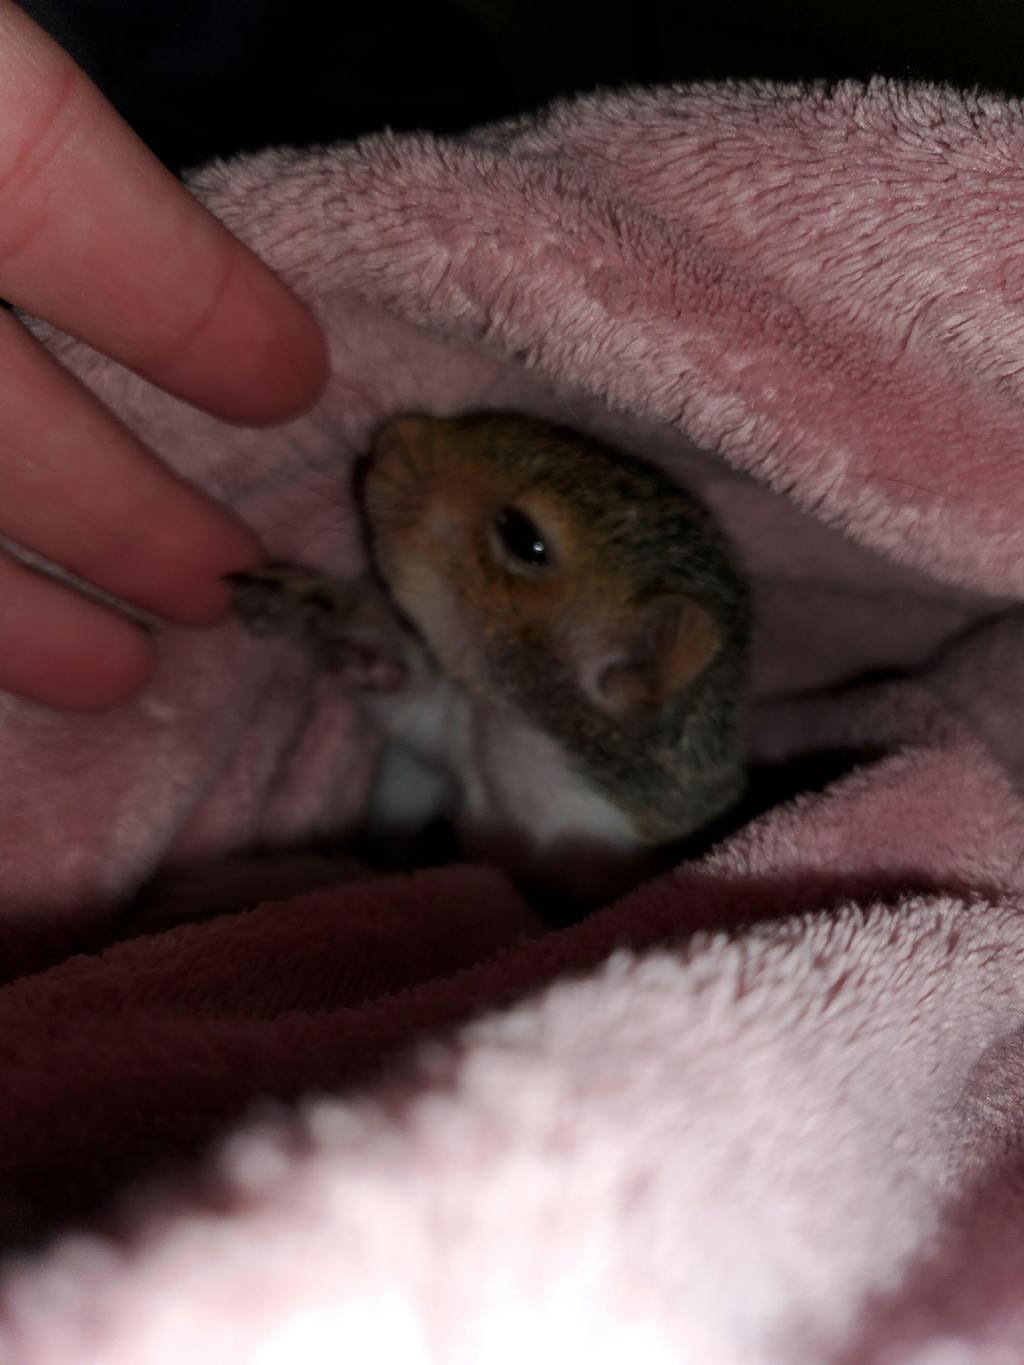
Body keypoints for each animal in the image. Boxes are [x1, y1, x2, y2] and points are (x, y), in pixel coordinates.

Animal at [230, 412, 751, 906]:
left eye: (523, 538)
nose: (395, 436)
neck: (517, 739)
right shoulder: (461, 729)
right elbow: (414, 711)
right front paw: (330, 622)